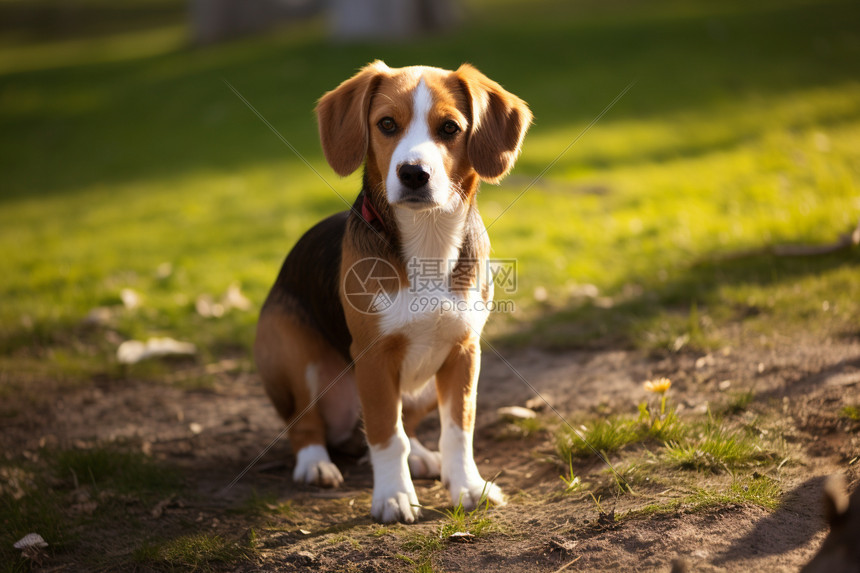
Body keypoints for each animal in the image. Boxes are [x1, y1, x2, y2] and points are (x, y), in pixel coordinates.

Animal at [252, 62, 528, 524]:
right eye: (386, 124)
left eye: (450, 128)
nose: (413, 173)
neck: (429, 239)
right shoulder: (374, 357)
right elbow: (385, 434)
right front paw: (394, 496)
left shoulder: (464, 351)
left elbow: (458, 430)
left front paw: (468, 487)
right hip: (291, 352)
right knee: (306, 424)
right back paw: (315, 463)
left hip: (424, 385)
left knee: (407, 424)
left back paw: (421, 456)